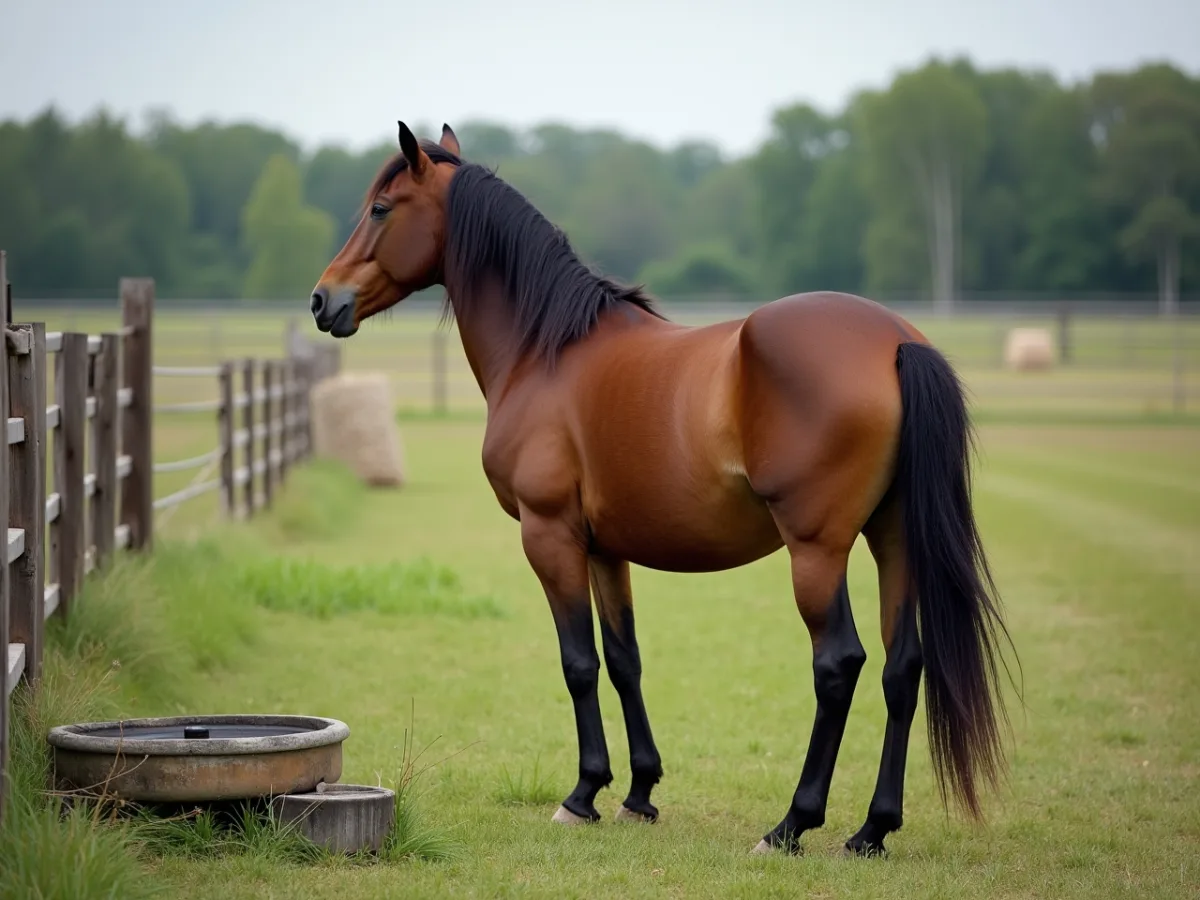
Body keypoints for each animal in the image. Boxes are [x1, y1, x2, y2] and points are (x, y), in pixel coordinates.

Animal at [309, 121, 1016, 857]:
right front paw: (638, 792)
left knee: (839, 665)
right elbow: (625, 660)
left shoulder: (549, 535)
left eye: (381, 208)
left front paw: (583, 794)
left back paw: (792, 824)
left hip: (818, 550)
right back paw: (872, 830)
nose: (322, 300)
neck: (546, 351)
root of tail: (895, 341)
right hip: (893, 537)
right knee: (902, 668)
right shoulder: (603, 547)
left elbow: (579, 662)